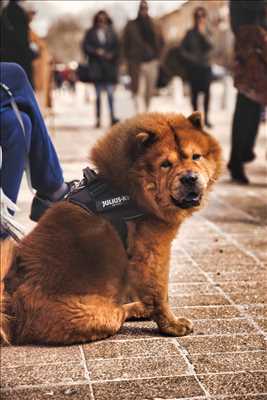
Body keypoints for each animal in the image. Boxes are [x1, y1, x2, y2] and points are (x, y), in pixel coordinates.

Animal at [0, 111, 222, 344]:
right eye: (165, 164)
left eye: (196, 156)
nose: (190, 178)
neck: (133, 190)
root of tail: (12, 306)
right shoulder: (153, 251)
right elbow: (160, 292)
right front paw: (172, 325)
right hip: (101, 315)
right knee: (118, 312)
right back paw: (138, 309)